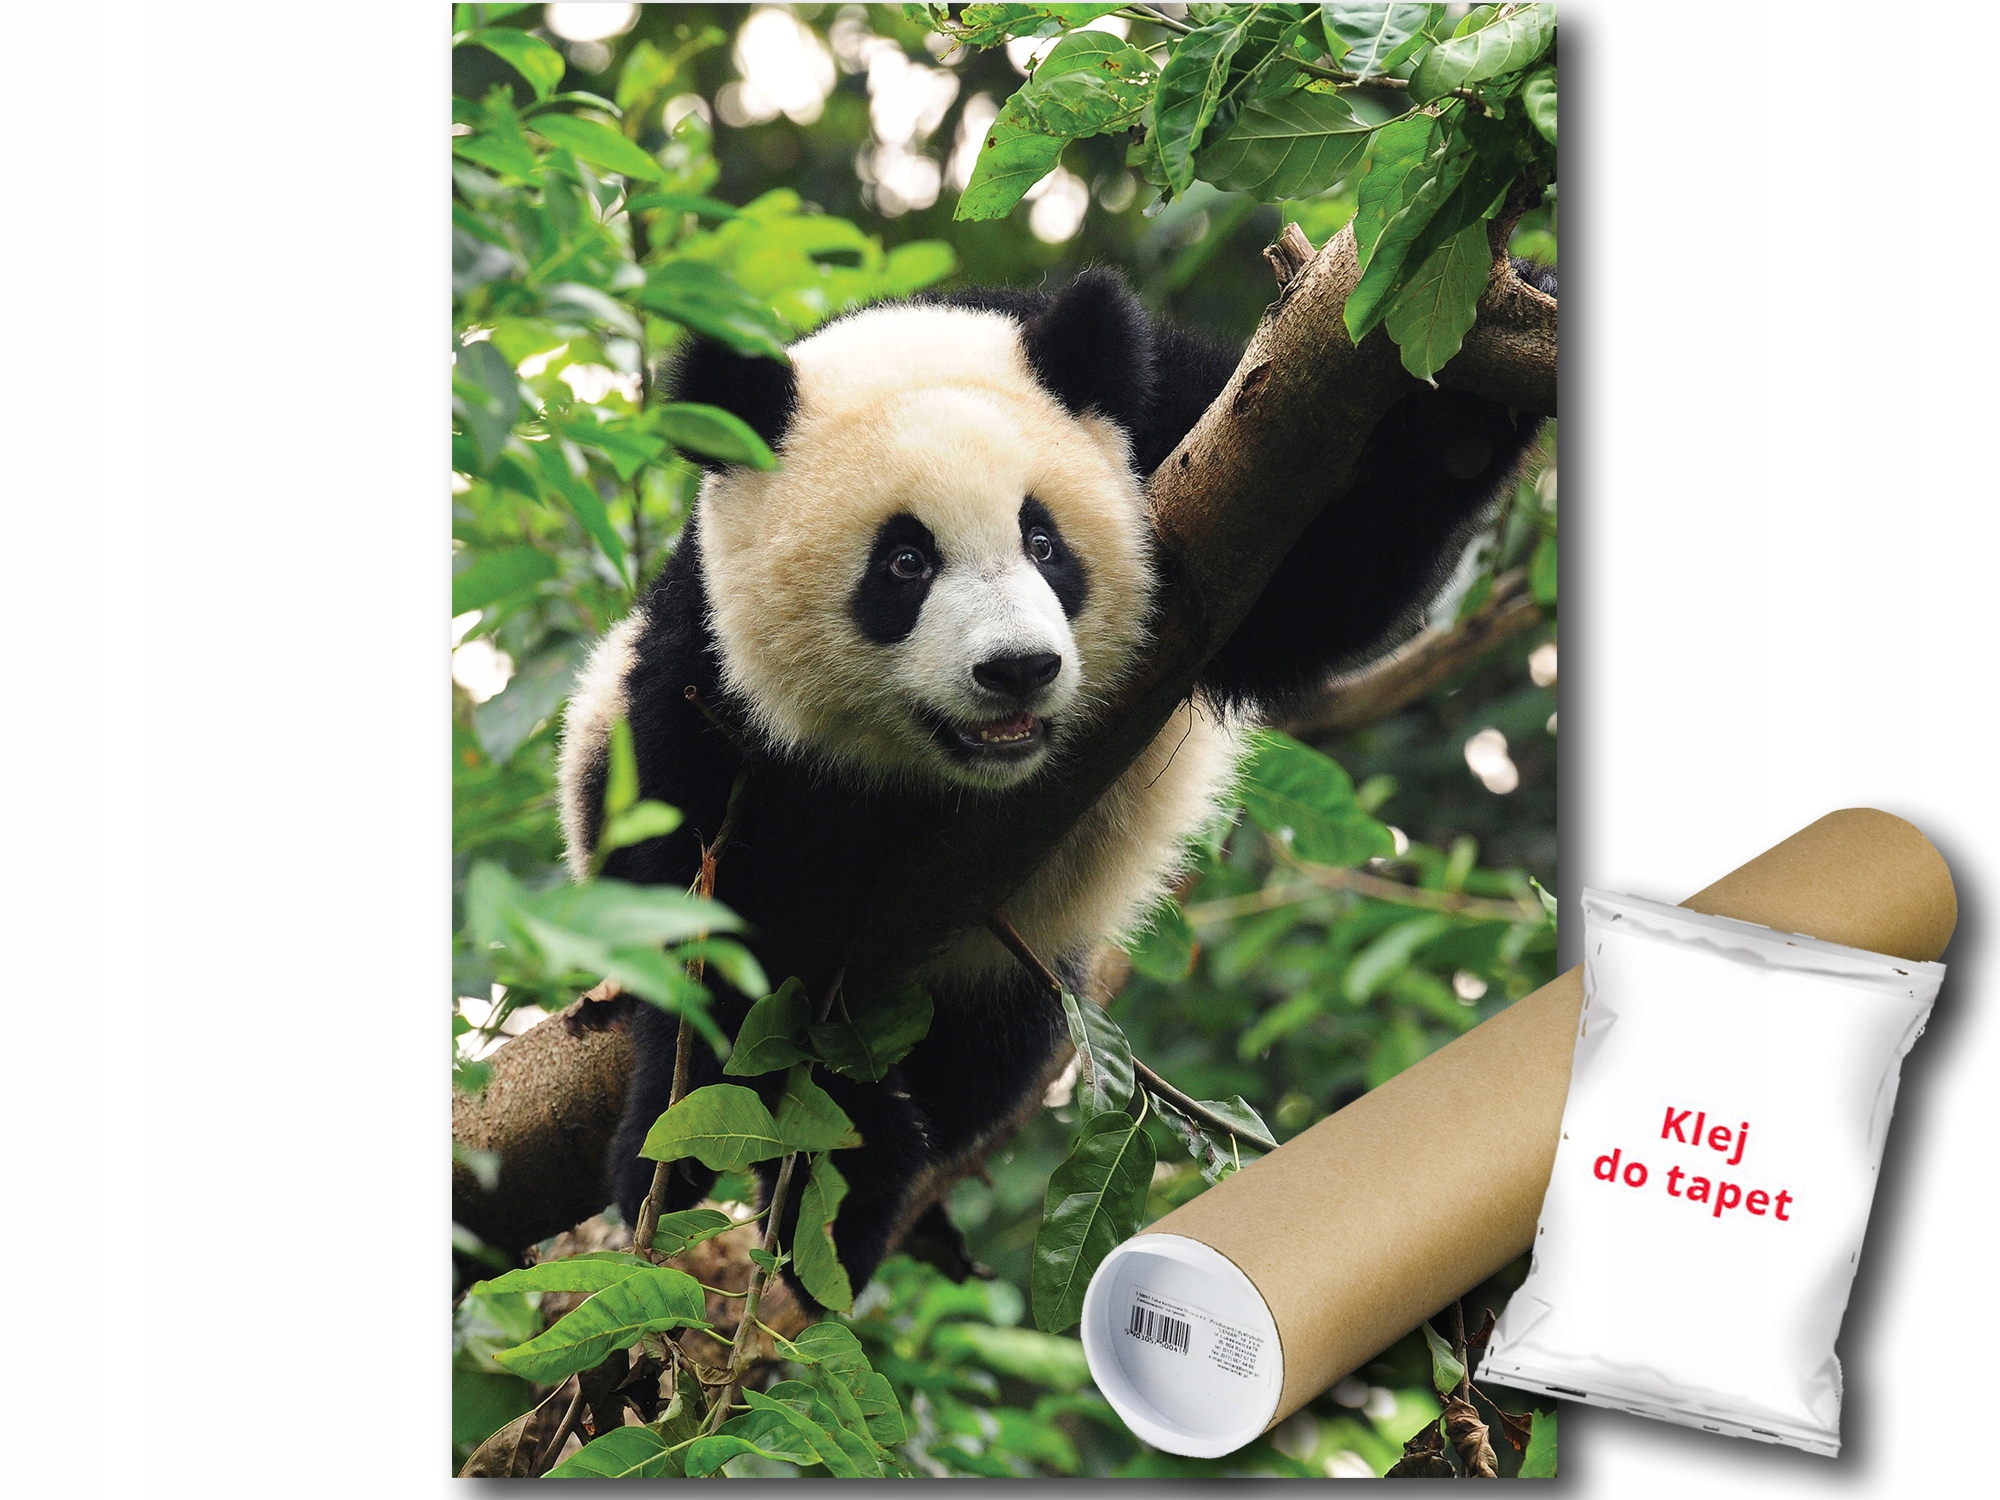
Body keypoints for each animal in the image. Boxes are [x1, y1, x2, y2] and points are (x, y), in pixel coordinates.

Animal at [558, 262, 1554, 1302]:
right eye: (904, 562)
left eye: (1044, 543)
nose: (1017, 669)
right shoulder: (707, 680)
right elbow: (717, 916)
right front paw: (750, 1152)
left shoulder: (1190, 438)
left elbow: (1322, 576)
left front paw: (1489, 358)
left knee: (984, 1060)